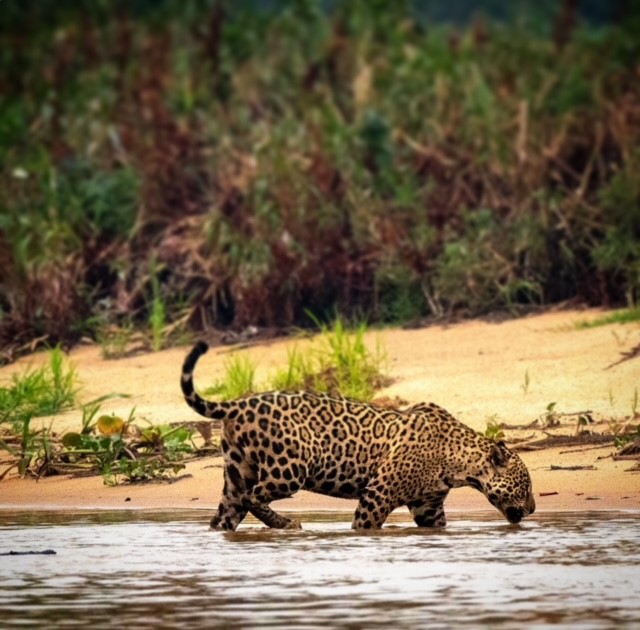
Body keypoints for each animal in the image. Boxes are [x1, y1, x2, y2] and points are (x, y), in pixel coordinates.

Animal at [181, 342, 535, 530]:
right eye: (527, 486)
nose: (533, 509)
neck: (460, 464)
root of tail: (238, 403)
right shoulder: (378, 493)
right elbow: (364, 525)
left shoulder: (428, 507)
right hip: (289, 470)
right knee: (253, 497)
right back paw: (287, 524)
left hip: (236, 472)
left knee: (227, 512)